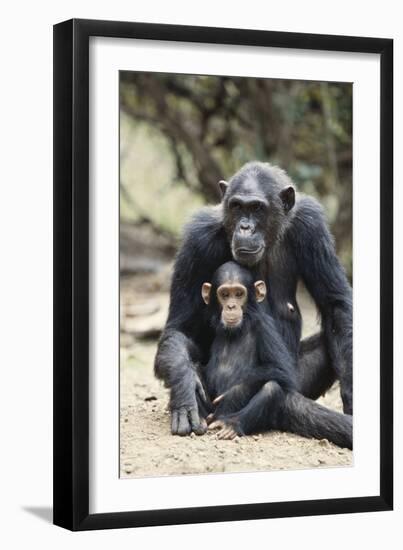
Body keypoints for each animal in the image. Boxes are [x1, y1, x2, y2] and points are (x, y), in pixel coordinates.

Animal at [200, 260, 352, 450]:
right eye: (225, 294)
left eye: (239, 294)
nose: (231, 306)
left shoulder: (264, 327)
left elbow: (280, 368)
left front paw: (230, 395)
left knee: (271, 389)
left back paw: (231, 424)